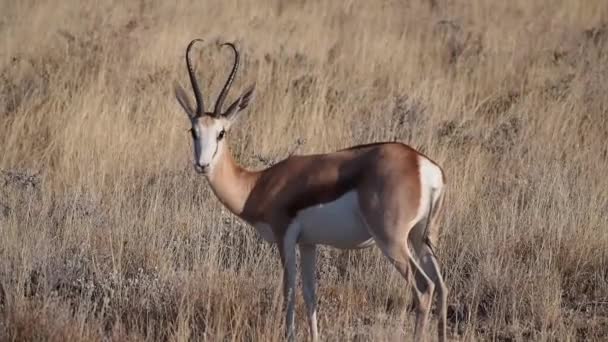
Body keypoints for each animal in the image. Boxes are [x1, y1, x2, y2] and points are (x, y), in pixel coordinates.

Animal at [173, 38, 448, 340]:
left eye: (221, 133)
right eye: (193, 131)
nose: (202, 164)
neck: (257, 184)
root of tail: (422, 165)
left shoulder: (284, 237)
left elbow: (289, 291)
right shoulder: (308, 244)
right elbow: (310, 294)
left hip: (393, 241)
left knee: (424, 289)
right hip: (422, 238)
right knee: (442, 286)